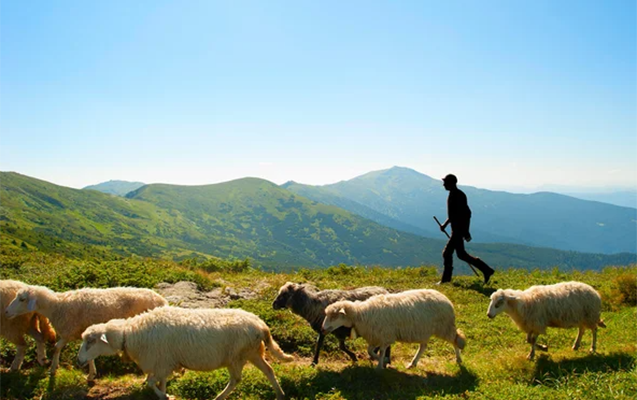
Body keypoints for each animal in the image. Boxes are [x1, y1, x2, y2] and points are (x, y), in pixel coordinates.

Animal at [4, 282, 166, 380]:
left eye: (22, 299)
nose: (6, 312)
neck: (57, 306)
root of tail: (162, 300)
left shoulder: (69, 331)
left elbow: (56, 348)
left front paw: (53, 368)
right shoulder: (82, 333)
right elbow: (88, 355)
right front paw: (91, 374)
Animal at [77, 306, 294, 400]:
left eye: (90, 341)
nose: (79, 361)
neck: (129, 335)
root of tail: (261, 324)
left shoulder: (161, 362)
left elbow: (151, 383)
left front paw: (165, 396)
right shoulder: (163, 362)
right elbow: (159, 381)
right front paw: (164, 393)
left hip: (237, 355)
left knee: (236, 380)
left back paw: (219, 397)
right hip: (252, 352)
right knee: (268, 370)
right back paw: (280, 394)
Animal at [320, 290, 464, 370]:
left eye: (334, 316)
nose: (322, 329)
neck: (361, 313)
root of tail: (446, 299)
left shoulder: (384, 336)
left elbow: (381, 351)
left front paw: (380, 366)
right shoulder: (376, 336)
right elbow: (370, 351)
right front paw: (382, 361)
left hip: (445, 327)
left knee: (456, 340)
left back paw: (458, 359)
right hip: (424, 330)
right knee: (423, 346)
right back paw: (413, 363)